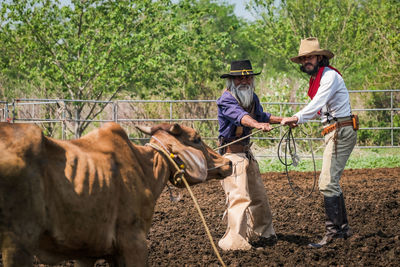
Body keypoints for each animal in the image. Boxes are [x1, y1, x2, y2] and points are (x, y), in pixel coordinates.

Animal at [0, 122, 231, 266]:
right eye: (197, 138)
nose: (227, 163)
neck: (144, 166)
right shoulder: (134, 242)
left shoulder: (87, 252)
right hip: (17, 244)